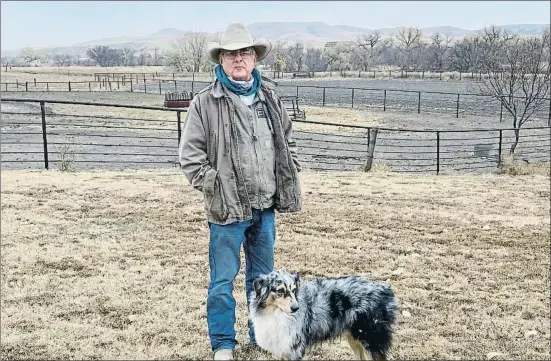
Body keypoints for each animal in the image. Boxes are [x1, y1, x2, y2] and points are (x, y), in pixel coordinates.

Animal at [249, 268, 396, 358]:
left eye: (294, 289)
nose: (296, 308)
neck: (276, 314)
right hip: (355, 339)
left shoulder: (295, 349)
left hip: (371, 340)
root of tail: (386, 289)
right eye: (280, 291)